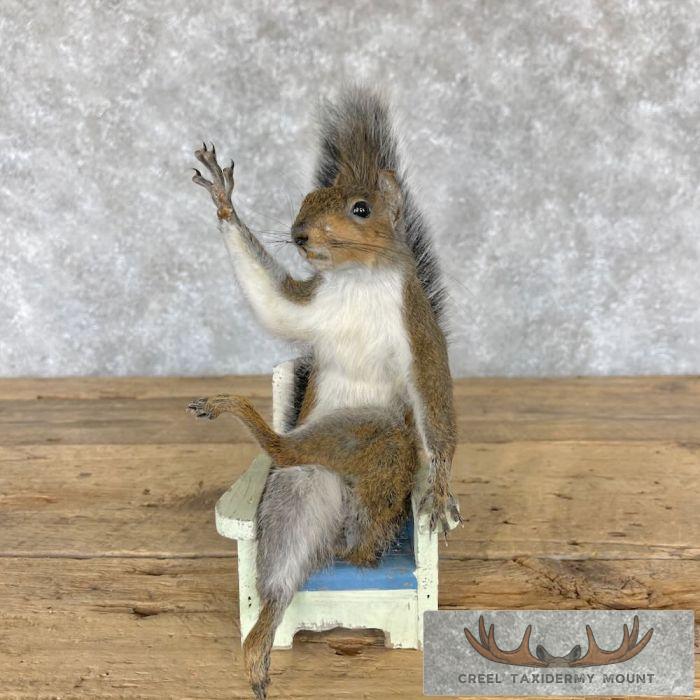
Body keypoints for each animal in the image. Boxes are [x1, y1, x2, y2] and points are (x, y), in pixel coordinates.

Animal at [188, 88, 461, 700]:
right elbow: (272, 303)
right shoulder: (309, 307)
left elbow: (434, 396)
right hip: (298, 490)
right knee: (284, 558)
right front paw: (225, 202)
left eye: (361, 209)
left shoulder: (419, 331)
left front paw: (440, 488)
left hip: (372, 441)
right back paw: (260, 640)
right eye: (306, 200)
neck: (358, 279)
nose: (299, 235)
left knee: (331, 475)